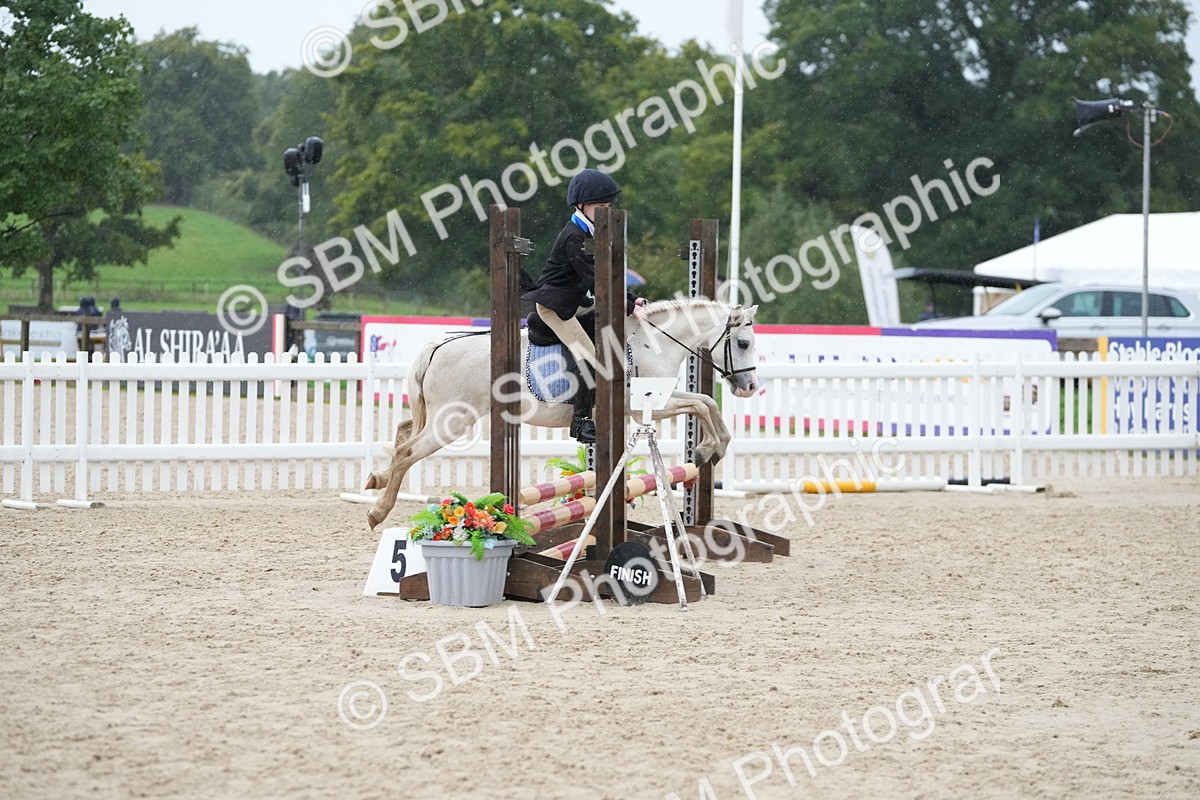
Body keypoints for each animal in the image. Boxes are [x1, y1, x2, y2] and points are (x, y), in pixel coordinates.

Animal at [364, 298, 760, 530]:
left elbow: (706, 402)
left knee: (403, 431)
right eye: (743, 343)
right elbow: (702, 404)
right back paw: (377, 511)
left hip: (442, 415)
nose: (750, 387)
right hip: (454, 420)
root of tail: (438, 346)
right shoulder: (643, 407)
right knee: (407, 451)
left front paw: (711, 448)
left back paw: (376, 480)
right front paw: (709, 449)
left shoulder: (659, 400)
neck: (655, 342)